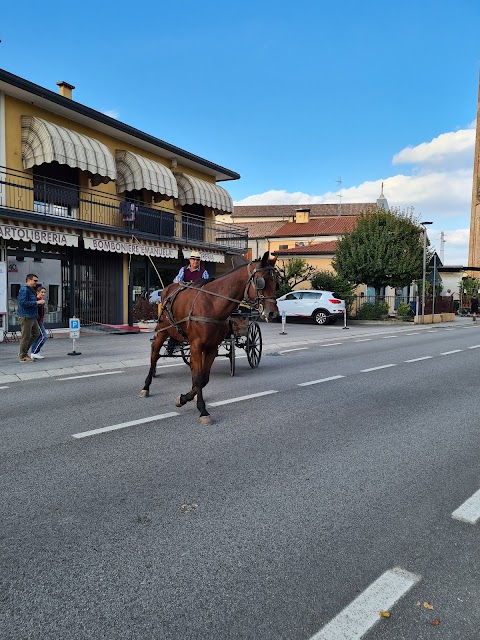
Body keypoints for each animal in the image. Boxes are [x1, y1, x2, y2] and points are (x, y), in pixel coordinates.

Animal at [139, 251, 280, 424]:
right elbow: (199, 377)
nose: (273, 313)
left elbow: (203, 378)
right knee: (154, 357)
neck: (212, 304)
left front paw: (186, 397)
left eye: (276, 283)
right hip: (162, 332)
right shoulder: (197, 345)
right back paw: (146, 387)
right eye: (261, 282)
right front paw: (202, 410)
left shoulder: (211, 347)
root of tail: (168, 290)